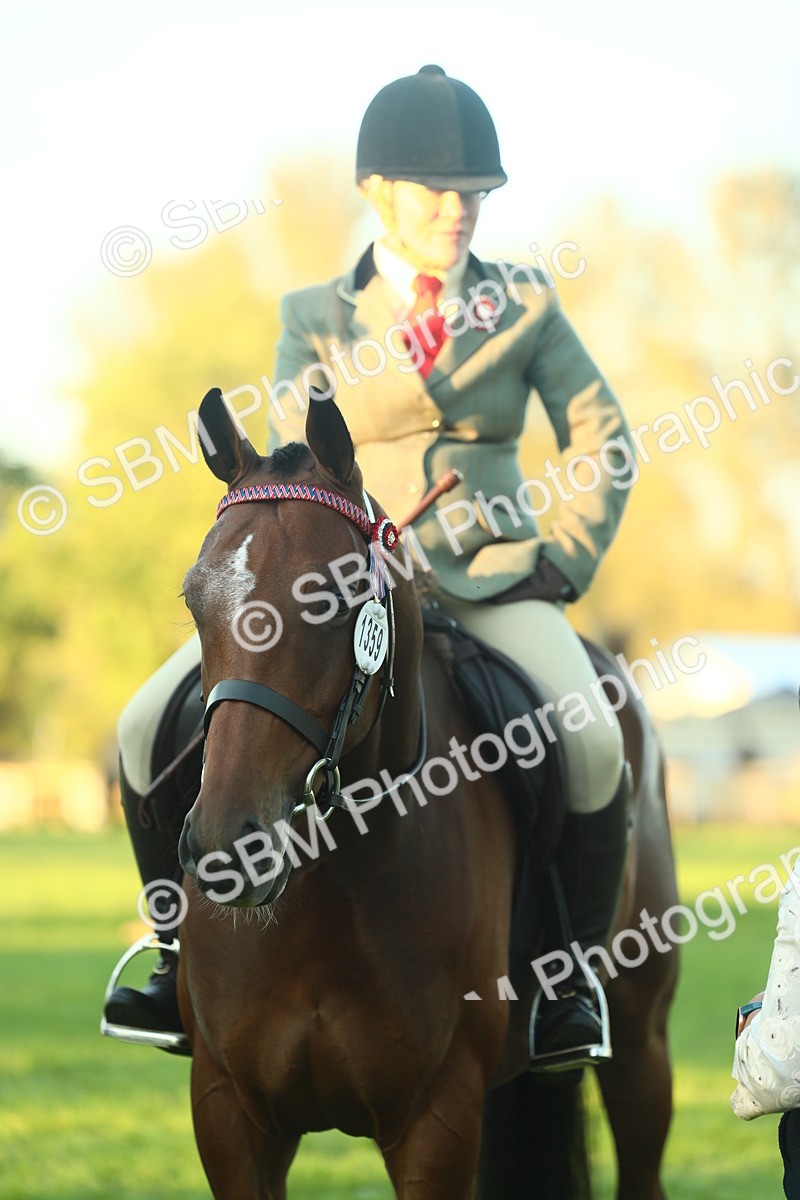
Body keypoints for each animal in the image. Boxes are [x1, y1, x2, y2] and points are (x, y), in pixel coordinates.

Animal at [174, 386, 679, 1199]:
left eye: (331, 599)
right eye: (195, 600)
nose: (228, 847)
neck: (328, 894)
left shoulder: (436, 1119)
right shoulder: (228, 1111)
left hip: (640, 1045)